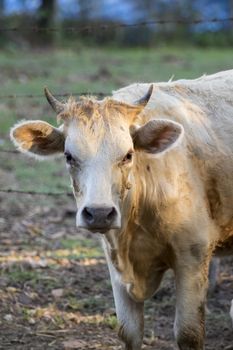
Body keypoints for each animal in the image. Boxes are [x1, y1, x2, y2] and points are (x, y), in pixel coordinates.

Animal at [10, 69, 232, 350]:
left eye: (128, 155)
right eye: (69, 156)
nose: (99, 213)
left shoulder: (193, 257)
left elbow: (188, 333)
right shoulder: (115, 265)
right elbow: (129, 332)